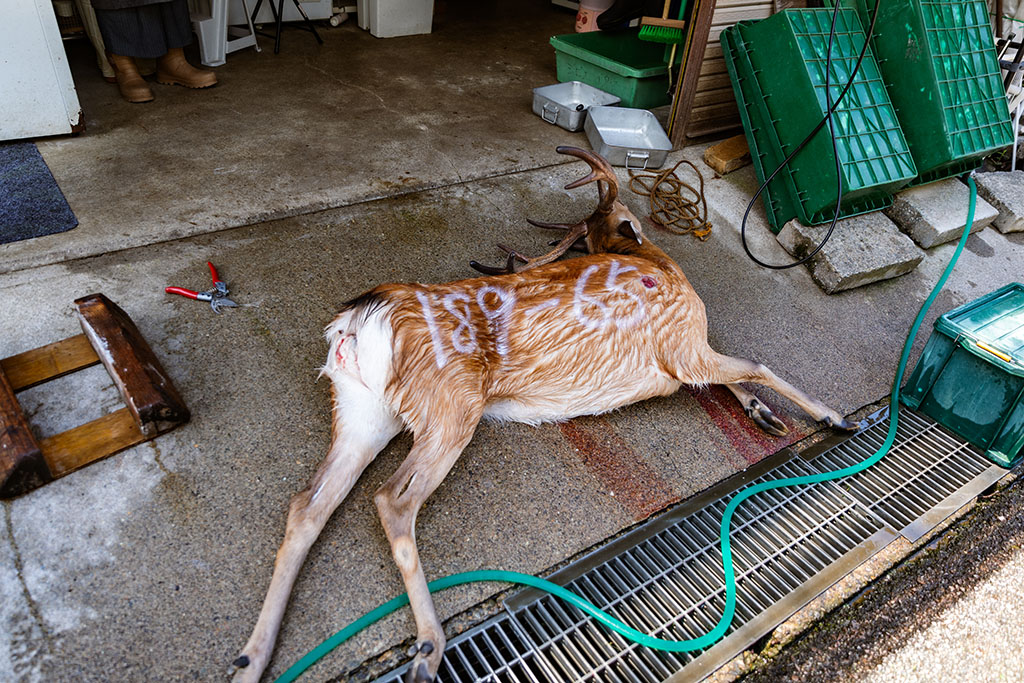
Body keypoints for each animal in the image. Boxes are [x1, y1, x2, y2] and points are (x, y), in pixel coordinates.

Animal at [229, 146, 858, 683]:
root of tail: (359, 323)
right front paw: (834, 417)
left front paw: (764, 416)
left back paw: (250, 659)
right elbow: (755, 363)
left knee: (308, 504)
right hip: (451, 404)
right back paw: (429, 649)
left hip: (365, 410)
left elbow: (730, 378)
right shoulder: (681, 343)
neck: (658, 265)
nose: (638, 223)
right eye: (626, 214)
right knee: (391, 499)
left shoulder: (681, 359)